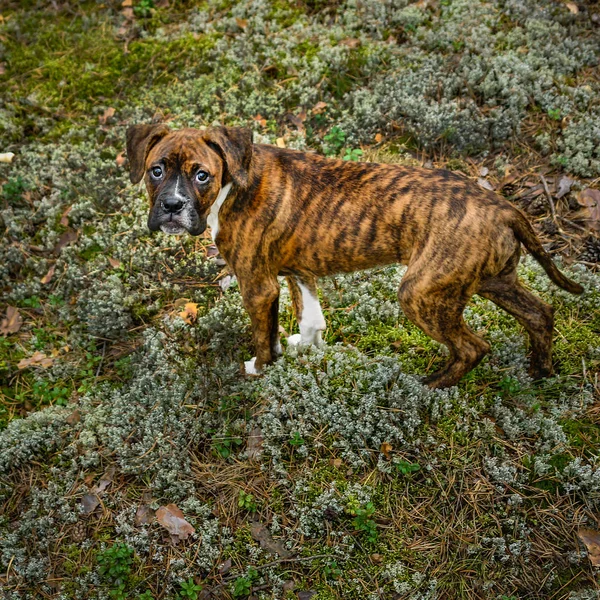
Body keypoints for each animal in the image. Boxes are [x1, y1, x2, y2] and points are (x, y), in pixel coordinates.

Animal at [125, 125, 580, 390]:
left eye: (201, 175)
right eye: (156, 170)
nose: (172, 206)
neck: (233, 182)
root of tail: (504, 207)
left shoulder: (257, 286)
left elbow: (262, 334)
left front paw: (261, 366)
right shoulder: (295, 271)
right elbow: (309, 316)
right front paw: (302, 347)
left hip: (422, 294)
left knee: (473, 347)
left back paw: (430, 387)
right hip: (492, 280)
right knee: (540, 313)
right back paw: (540, 371)